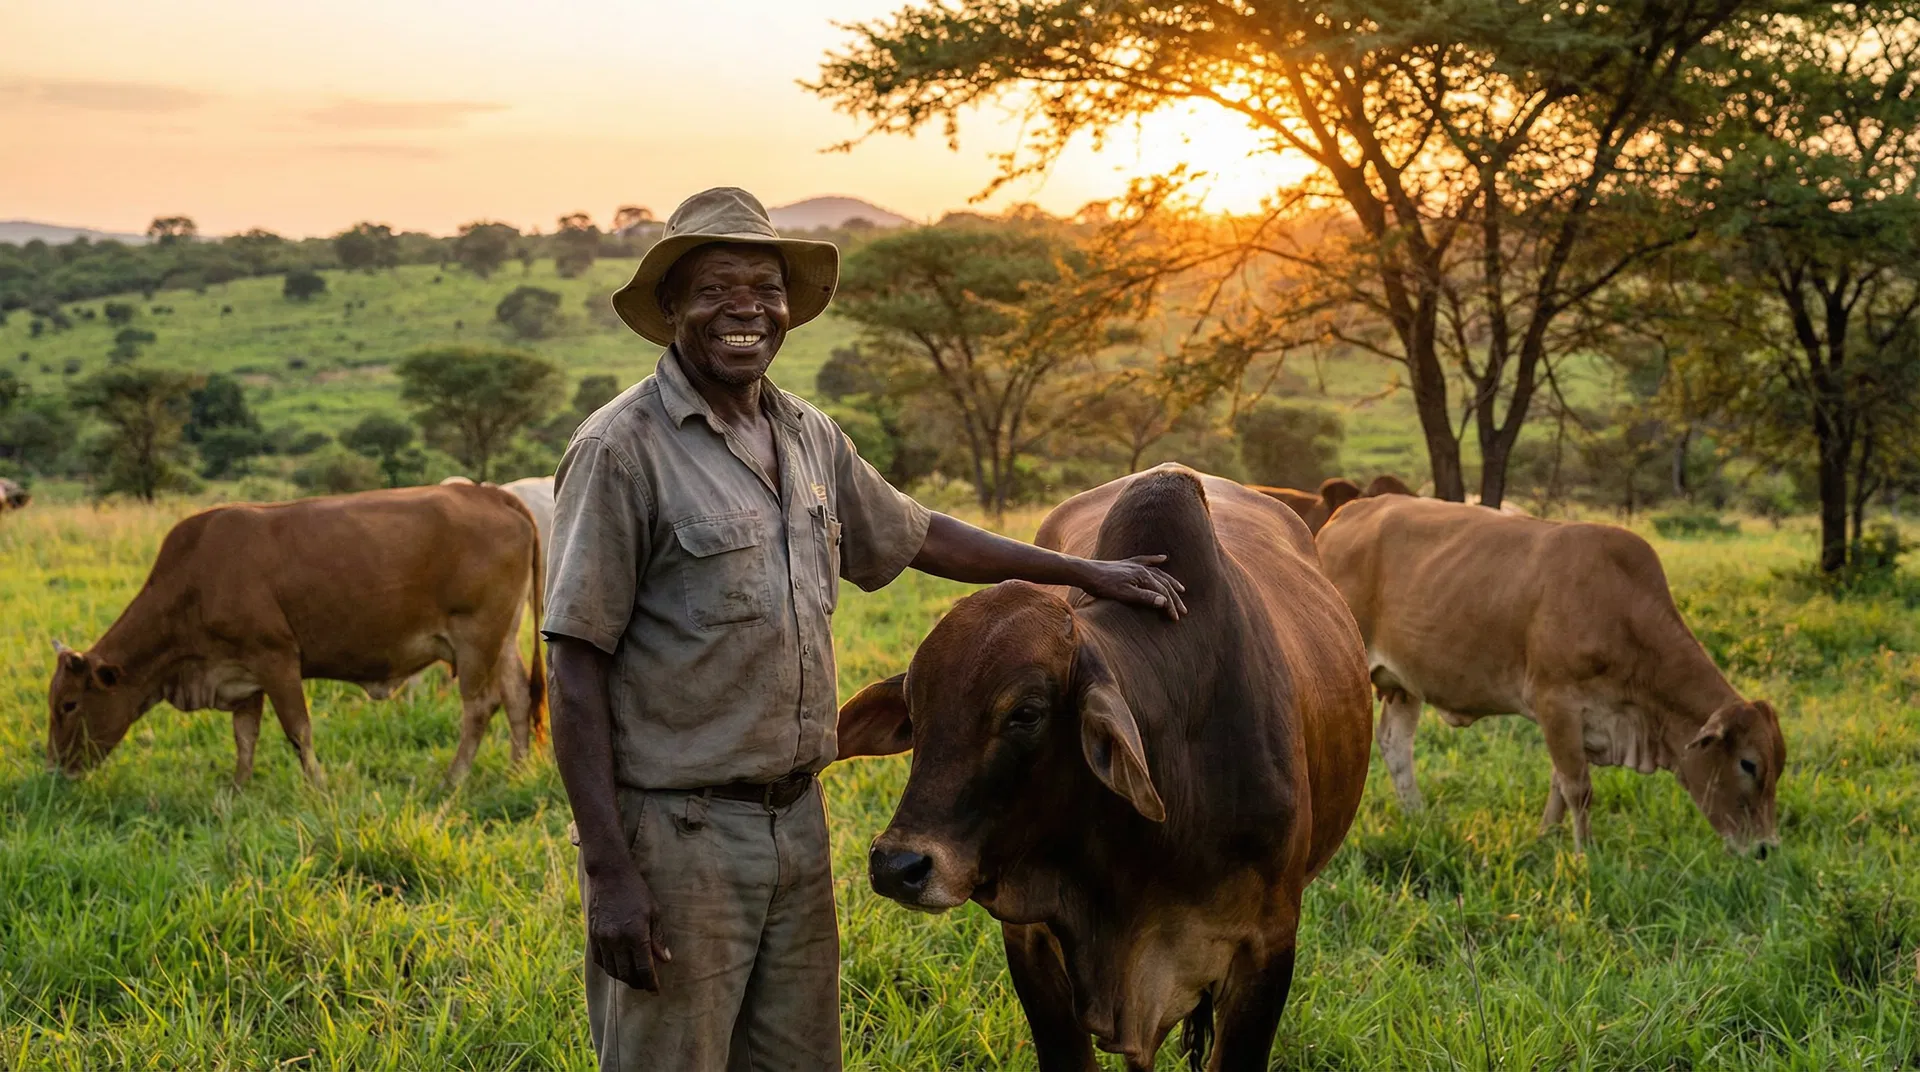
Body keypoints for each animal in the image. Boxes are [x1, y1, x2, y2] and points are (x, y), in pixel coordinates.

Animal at [47, 483, 546, 787]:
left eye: (69, 705)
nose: (53, 768)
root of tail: (489, 494)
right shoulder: (240, 674)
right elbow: (245, 738)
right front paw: (238, 789)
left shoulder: (277, 660)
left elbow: (298, 731)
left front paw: (317, 787)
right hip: (501, 638)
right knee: (517, 697)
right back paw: (517, 768)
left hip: (476, 637)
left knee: (480, 707)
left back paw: (453, 779)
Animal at [1315, 495, 1785, 854]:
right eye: (1748, 764)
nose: (1765, 849)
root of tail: (1347, 513)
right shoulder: (1556, 703)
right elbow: (1578, 786)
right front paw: (1585, 852)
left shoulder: (1577, 722)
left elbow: (1560, 782)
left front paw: (1546, 837)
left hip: (1403, 683)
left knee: (1396, 746)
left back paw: (1417, 816)